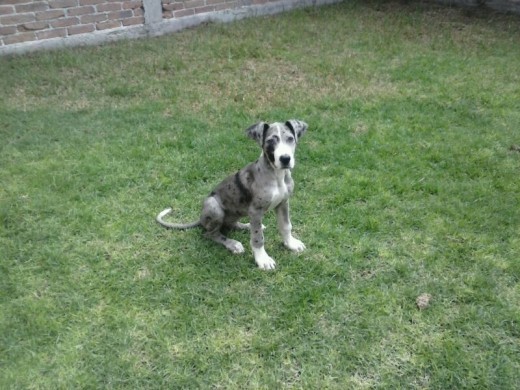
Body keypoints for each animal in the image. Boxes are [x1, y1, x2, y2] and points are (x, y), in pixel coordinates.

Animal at [156, 120, 306, 270]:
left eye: (290, 139)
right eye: (270, 141)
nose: (285, 159)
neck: (277, 175)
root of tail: (201, 218)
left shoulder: (283, 203)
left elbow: (286, 226)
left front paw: (291, 244)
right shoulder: (255, 210)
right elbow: (258, 238)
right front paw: (262, 259)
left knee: (232, 224)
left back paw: (246, 226)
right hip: (213, 206)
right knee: (210, 233)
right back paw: (233, 244)